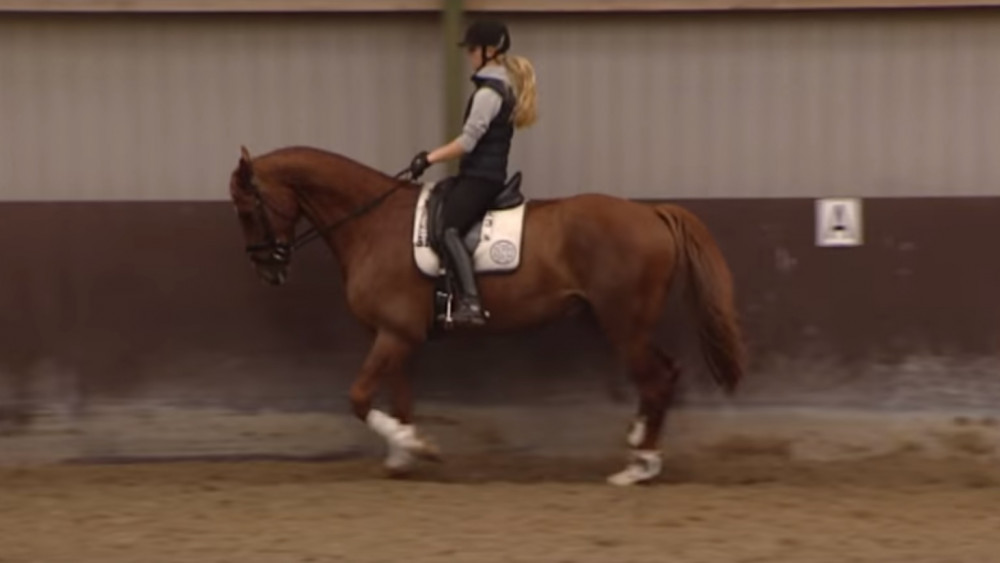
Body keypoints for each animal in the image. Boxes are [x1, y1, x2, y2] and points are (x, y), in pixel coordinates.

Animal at [227, 144, 747, 486]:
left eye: (248, 208)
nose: (268, 270)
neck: (372, 224)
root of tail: (651, 214)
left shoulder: (394, 335)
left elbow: (358, 397)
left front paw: (418, 447)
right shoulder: (399, 336)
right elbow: (401, 398)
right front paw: (403, 454)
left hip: (624, 323)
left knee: (657, 378)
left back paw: (640, 466)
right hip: (625, 324)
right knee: (662, 375)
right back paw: (639, 443)